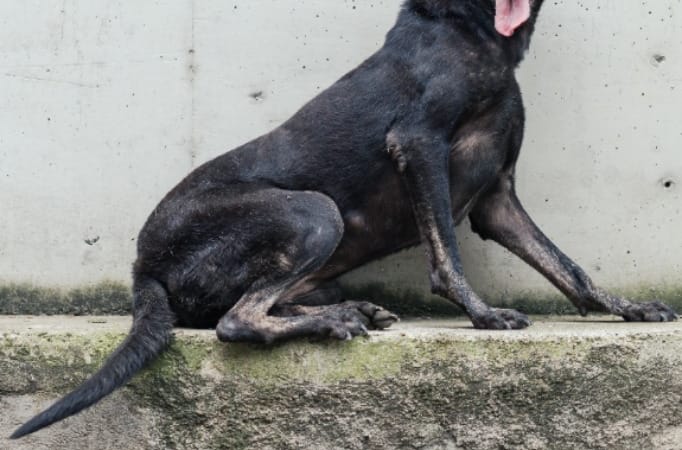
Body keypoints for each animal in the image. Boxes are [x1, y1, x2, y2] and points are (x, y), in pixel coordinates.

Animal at [11, 0, 678, 439]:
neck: (473, 29)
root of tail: (141, 266)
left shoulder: (497, 199)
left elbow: (569, 269)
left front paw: (629, 308)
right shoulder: (419, 145)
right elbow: (447, 255)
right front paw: (482, 314)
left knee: (261, 304)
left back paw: (349, 309)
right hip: (314, 210)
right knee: (236, 320)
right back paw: (333, 320)